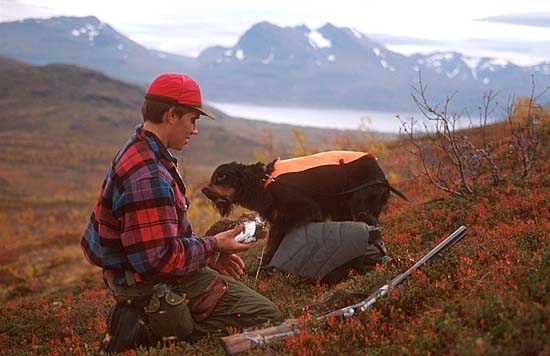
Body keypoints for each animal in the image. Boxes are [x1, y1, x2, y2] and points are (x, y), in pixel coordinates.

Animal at [204, 150, 410, 264]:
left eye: (221, 177)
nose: (204, 189)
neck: (264, 181)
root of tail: (381, 174)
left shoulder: (306, 209)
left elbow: (275, 234)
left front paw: (266, 261)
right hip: (341, 209)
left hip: (361, 206)